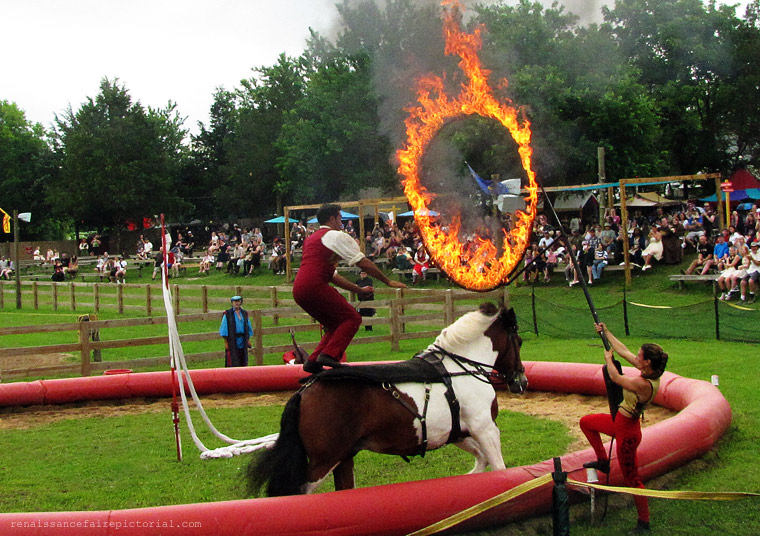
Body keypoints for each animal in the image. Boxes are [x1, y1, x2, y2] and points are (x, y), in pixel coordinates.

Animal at [246, 304, 524, 496]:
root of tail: (305, 390)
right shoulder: (485, 429)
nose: (521, 380)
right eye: (519, 341)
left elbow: (482, 462)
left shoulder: (458, 433)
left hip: (343, 459)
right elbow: (499, 469)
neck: (459, 367)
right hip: (322, 464)